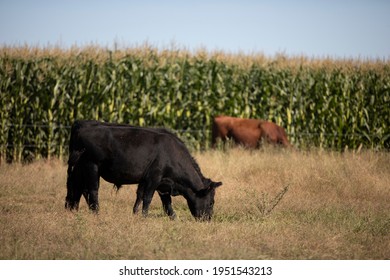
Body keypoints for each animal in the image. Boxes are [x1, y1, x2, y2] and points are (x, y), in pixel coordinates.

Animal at [65, 120, 221, 221]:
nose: (208, 219)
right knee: (92, 190)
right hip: (91, 166)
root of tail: (81, 123)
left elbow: (161, 201)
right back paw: (96, 213)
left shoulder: (160, 183)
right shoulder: (154, 177)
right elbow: (147, 197)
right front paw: (144, 216)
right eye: (211, 202)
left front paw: (172, 218)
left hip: (79, 169)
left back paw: (73, 211)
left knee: (77, 189)